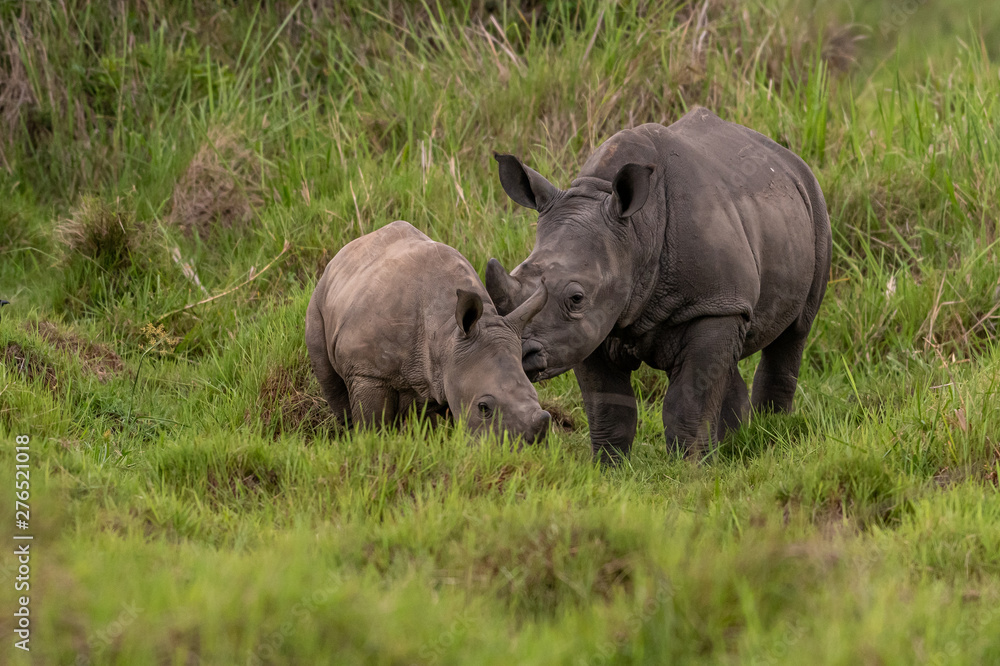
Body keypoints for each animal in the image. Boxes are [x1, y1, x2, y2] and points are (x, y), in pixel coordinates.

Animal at [305, 220, 551, 442]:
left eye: (536, 395)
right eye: (483, 407)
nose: (518, 450)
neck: (448, 335)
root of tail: (343, 253)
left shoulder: (440, 368)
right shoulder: (367, 373)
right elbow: (372, 423)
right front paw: (369, 445)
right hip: (318, 300)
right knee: (329, 376)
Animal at [486, 107, 832, 463]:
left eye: (576, 297)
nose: (520, 353)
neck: (637, 231)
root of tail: (787, 158)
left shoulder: (712, 304)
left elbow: (688, 401)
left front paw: (689, 468)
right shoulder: (591, 328)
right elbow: (608, 407)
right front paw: (609, 468)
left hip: (813, 206)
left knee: (794, 333)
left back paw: (769, 436)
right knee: (728, 358)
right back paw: (732, 446)